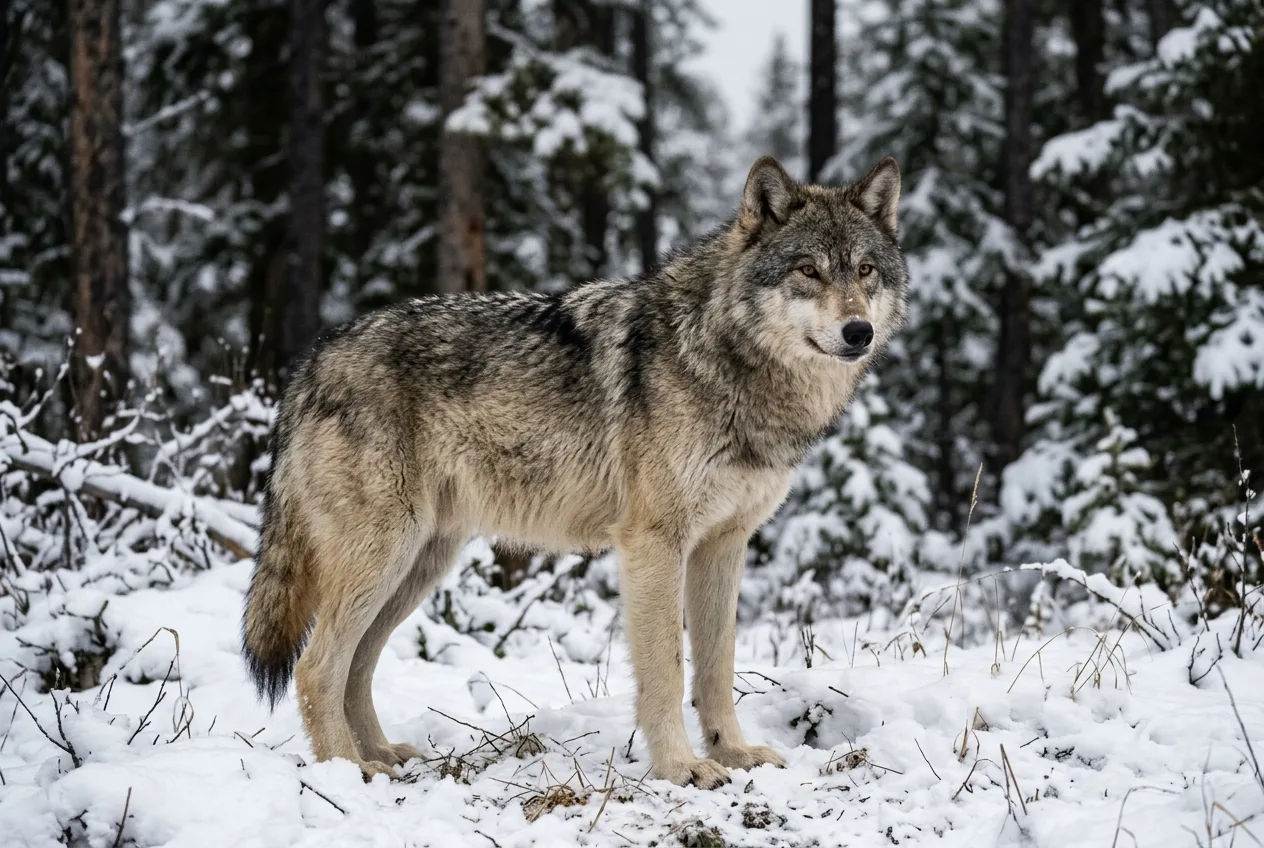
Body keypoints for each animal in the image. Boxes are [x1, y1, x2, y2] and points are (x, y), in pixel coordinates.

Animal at [241, 155, 908, 788]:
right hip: (385, 557)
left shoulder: (724, 544)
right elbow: (668, 669)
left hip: (418, 566)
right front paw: (681, 768)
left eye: (864, 271)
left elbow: (717, 667)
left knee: (356, 666)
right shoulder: (653, 543)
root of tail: (310, 362)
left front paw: (734, 754)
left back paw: (380, 753)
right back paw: (347, 770)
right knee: (317, 668)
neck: (726, 361)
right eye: (808, 271)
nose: (859, 331)